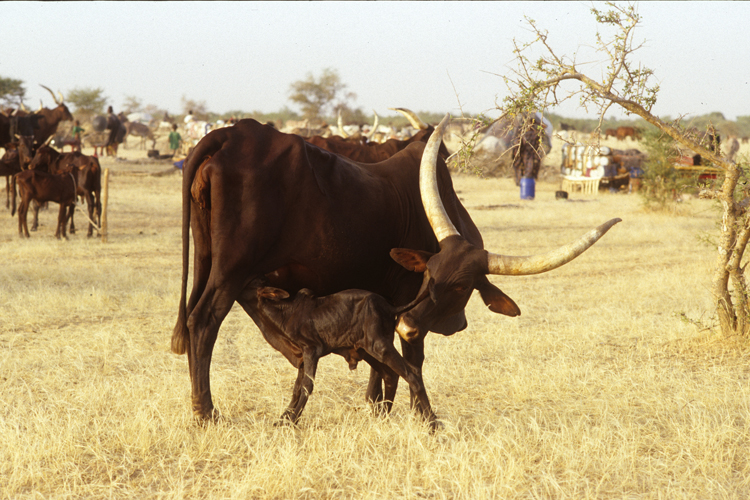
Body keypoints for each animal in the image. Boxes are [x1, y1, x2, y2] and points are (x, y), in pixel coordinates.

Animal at [256, 286, 440, 430]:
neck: (286, 311)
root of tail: (389, 308)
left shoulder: (311, 351)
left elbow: (307, 386)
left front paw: (292, 420)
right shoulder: (302, 358)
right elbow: (296, 388)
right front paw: (283, 419)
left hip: (380, 347)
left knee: (412, 373)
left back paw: (432, 423)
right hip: (369, 351)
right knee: (393, 375)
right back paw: (384, 418)